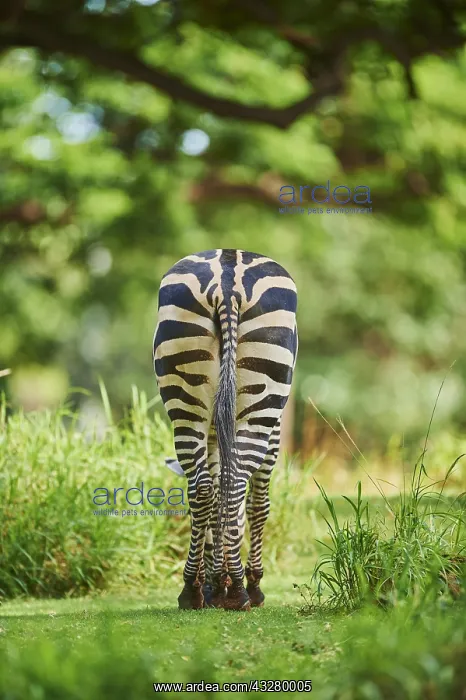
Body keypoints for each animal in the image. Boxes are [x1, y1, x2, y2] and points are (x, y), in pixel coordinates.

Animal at [153, 249, 298, 610]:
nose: (205, 586)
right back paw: (238, 592)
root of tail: (227, 279)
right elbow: (258, 505)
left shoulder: (215, 433)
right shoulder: (275, 434)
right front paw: (246, 582)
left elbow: (217, 493)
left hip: (184, 396)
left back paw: (193, 590)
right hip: (263, 404)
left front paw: (214, 582)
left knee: (204, 487)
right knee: (236, 484)